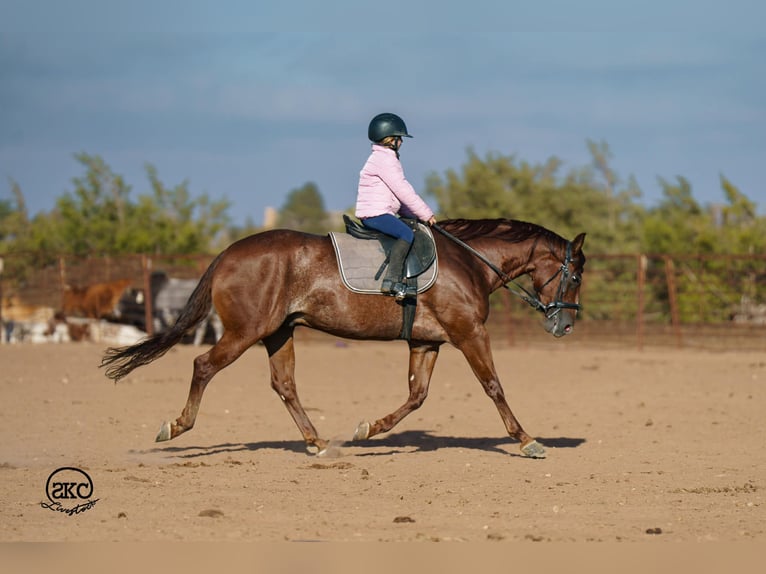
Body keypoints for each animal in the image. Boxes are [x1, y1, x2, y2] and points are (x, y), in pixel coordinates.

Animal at [101, 218, 586, 459]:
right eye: (576, 275)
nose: (564, 326)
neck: (469, 262)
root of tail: (229, 253)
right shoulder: (469, 334)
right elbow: (493, 386)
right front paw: (526, 440)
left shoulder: (427, 342)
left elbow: (417, 396)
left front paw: (368, 429)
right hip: (245, 332)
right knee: (203, 365)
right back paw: (176, 427)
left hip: (278, 333)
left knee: (284, 384)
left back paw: (316, 442)